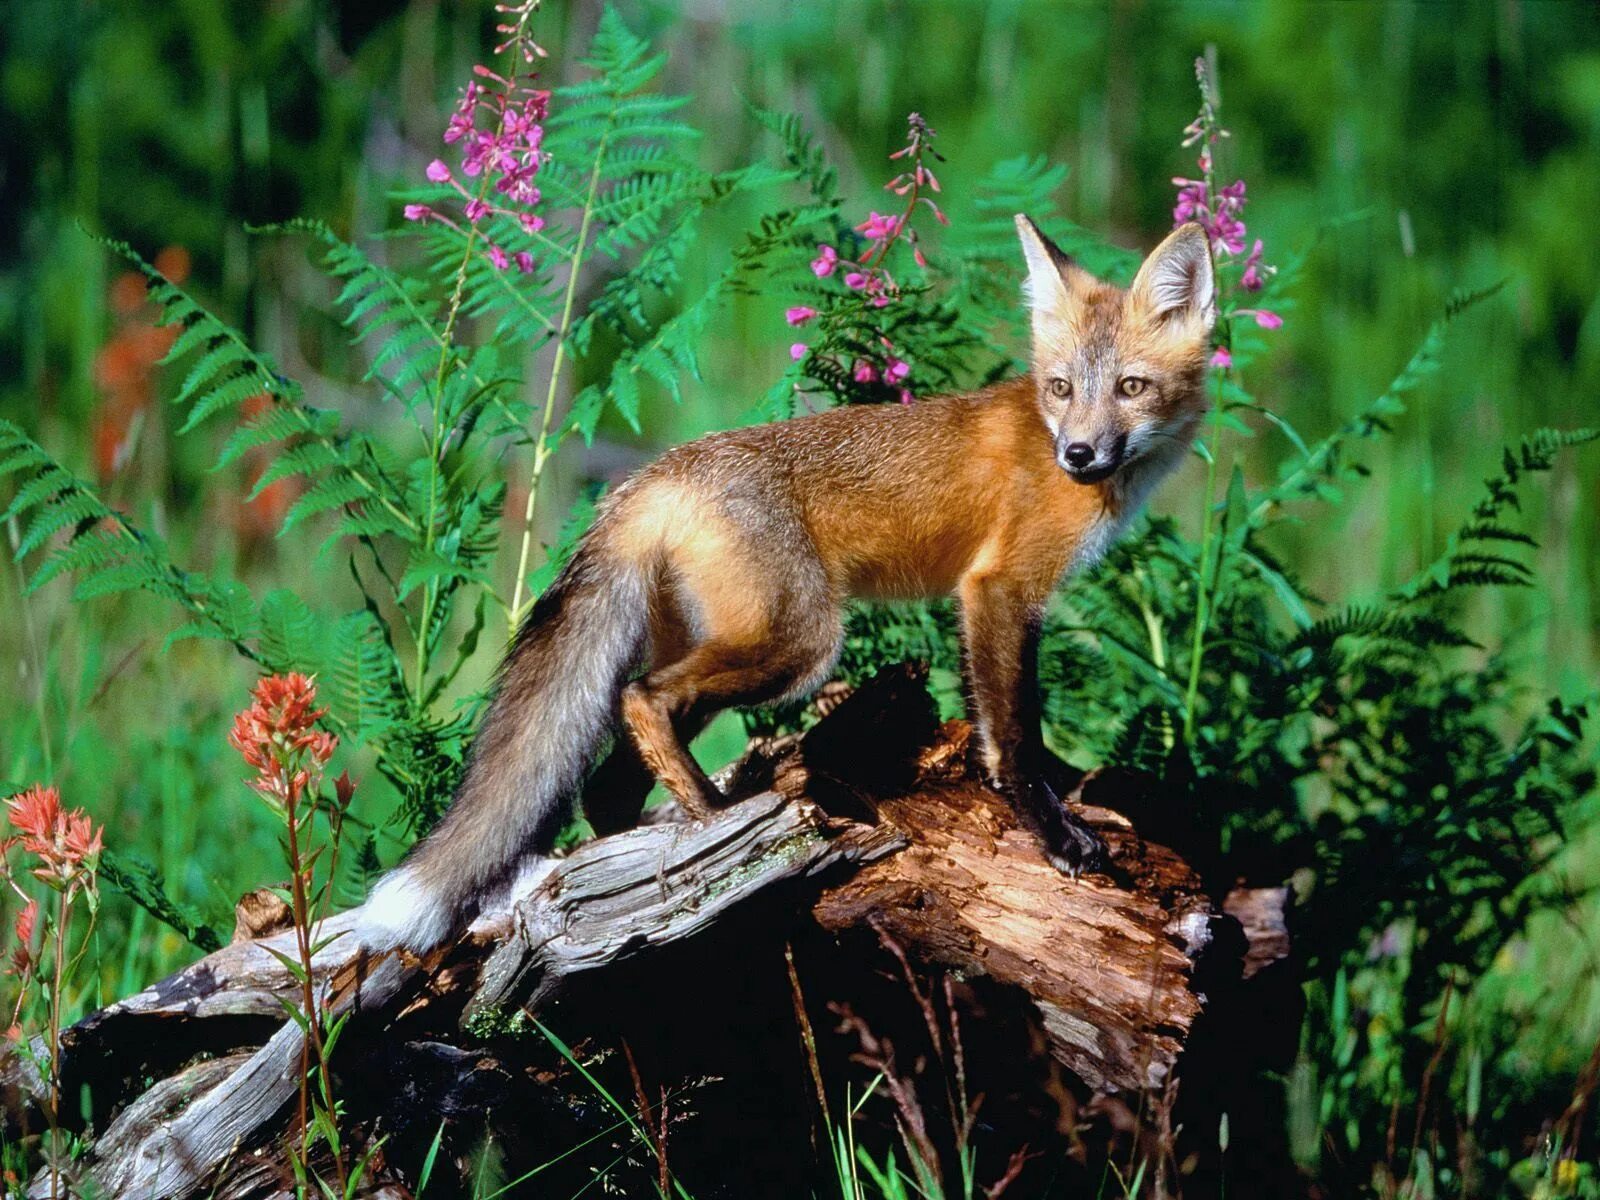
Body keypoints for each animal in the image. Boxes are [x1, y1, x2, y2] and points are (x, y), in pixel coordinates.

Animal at [356, 211, 1216, 953]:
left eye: (1131, 387)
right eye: (1063, 388)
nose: (1078, 454)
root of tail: (652, 477)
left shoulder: (991, 600)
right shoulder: (999, 588)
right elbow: (1014, 739)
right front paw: (1054, 833)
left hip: (730, 639)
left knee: (604, 783)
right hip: (800, 643)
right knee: (641, 697)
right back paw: (715, 825)